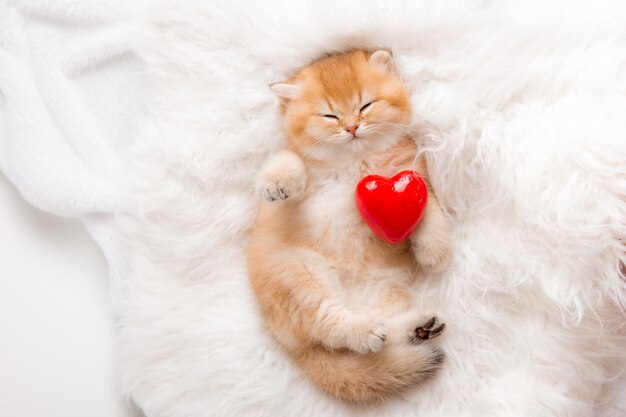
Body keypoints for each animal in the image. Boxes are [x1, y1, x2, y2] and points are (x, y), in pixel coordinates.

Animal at [247, 49, 448, 404]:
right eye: (329, 116)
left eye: (365, 105)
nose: (353, 127)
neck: (356, 161)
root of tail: (290, 344)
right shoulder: (296, 173)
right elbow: (287, 160)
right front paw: (278, 183)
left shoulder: (413, 173)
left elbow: (430, 207)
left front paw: (433, 250)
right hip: (298, 278)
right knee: (329, 323)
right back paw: (366, 332)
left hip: (385, 289)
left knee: (380, 327)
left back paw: (418, 327)